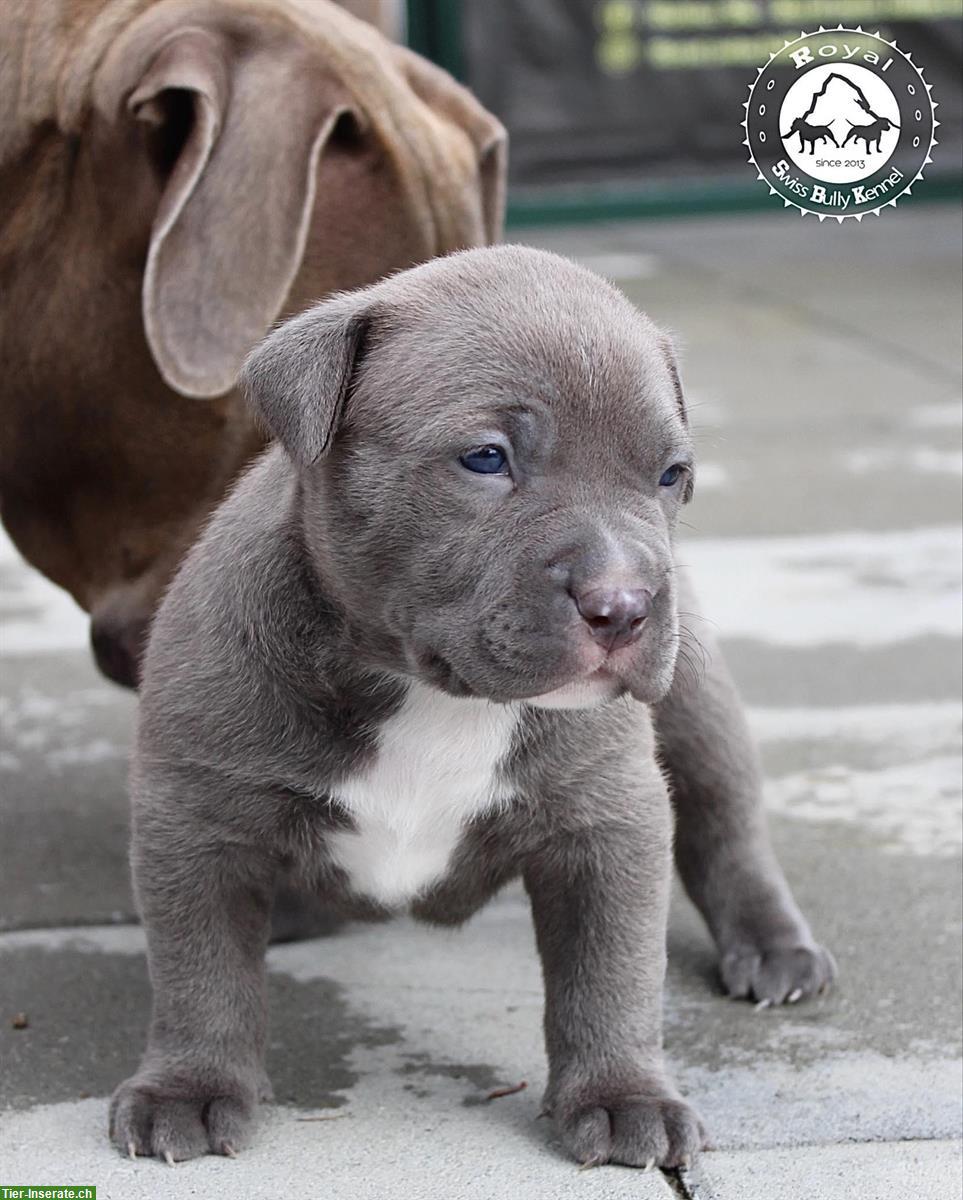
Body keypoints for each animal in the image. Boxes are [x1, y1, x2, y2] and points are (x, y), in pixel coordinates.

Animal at [110, 246, 830, 1171]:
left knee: (724, 815)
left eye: (670, 477)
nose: (625, 604)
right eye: (486, 459)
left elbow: (610, 972)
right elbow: (200, 970)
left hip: (696, 697)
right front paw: (189, 1089)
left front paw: (623, 1096)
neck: (431, 695)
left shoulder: (608, 823)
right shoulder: (196, 816)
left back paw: (773, 947)